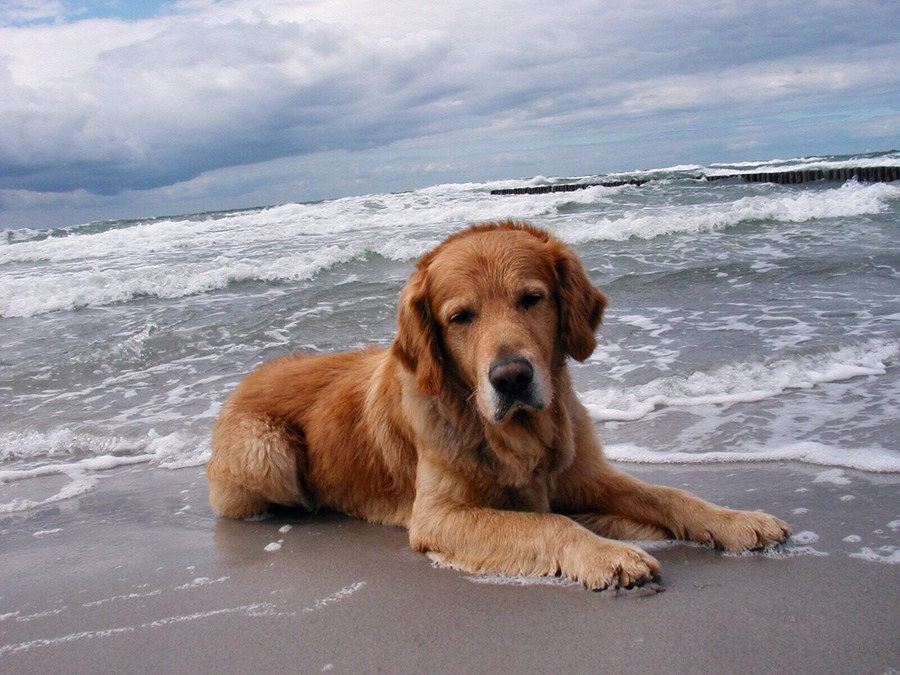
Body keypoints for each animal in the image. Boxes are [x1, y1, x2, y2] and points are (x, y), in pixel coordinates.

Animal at [207, 219, 792, 588]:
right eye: (459, 317)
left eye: (532, 299)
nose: (511, 377)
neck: (516, 433)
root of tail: (245, 379)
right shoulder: (438, 516)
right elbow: (548, 525)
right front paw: (607, 554)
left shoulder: (584, 473)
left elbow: (669, 494)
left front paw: (737, 520)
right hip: (266, 451)